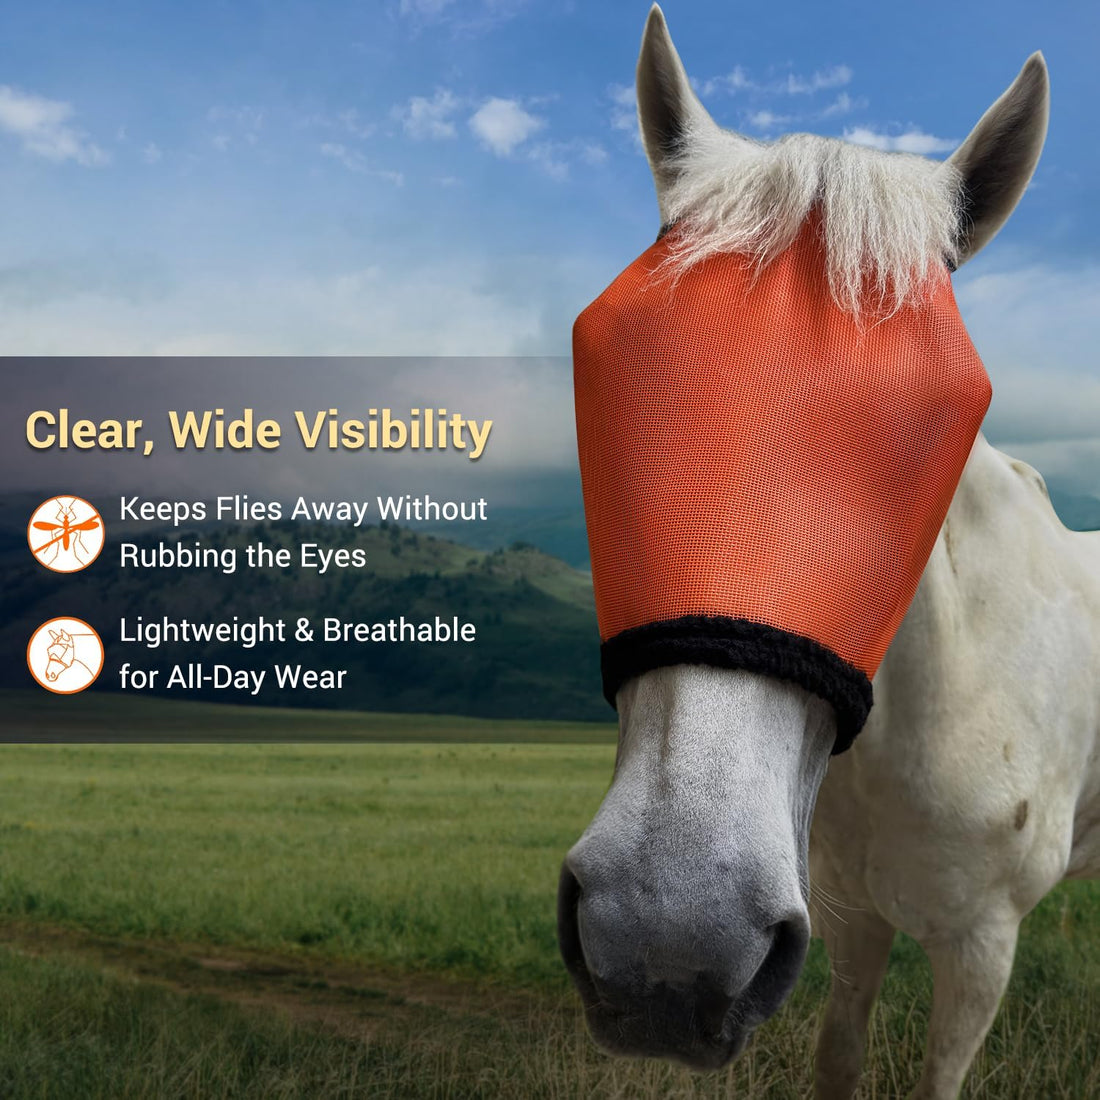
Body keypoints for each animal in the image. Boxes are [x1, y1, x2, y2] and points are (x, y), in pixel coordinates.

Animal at [557, 8, 1097, 1098]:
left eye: (939, 416)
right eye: (610, 364)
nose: (666, 934)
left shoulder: (979, 952)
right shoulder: (846, 920)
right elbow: (838, 1051)